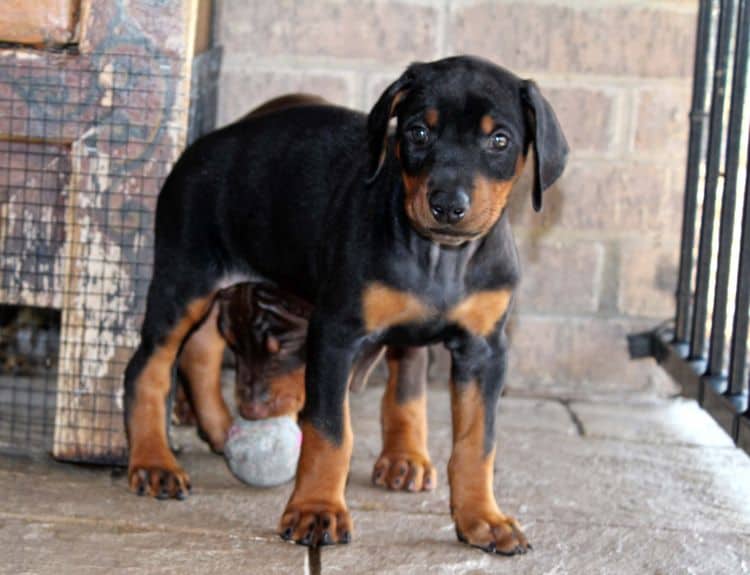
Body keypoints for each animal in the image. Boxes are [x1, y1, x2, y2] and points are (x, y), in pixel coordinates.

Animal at [125, 56, 568, 556]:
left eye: (500, 140)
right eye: (417, 132)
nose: (447, 205)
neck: (439, 257)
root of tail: (196, 149)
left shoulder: (485, 350)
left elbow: (478, 442)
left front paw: (482, 519)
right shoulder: (336, 334)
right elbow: (330, 430)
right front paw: (316, 510)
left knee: (200, 350)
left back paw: (221, 430)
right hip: (184, 279)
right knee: (148, 366)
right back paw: (154, 461)